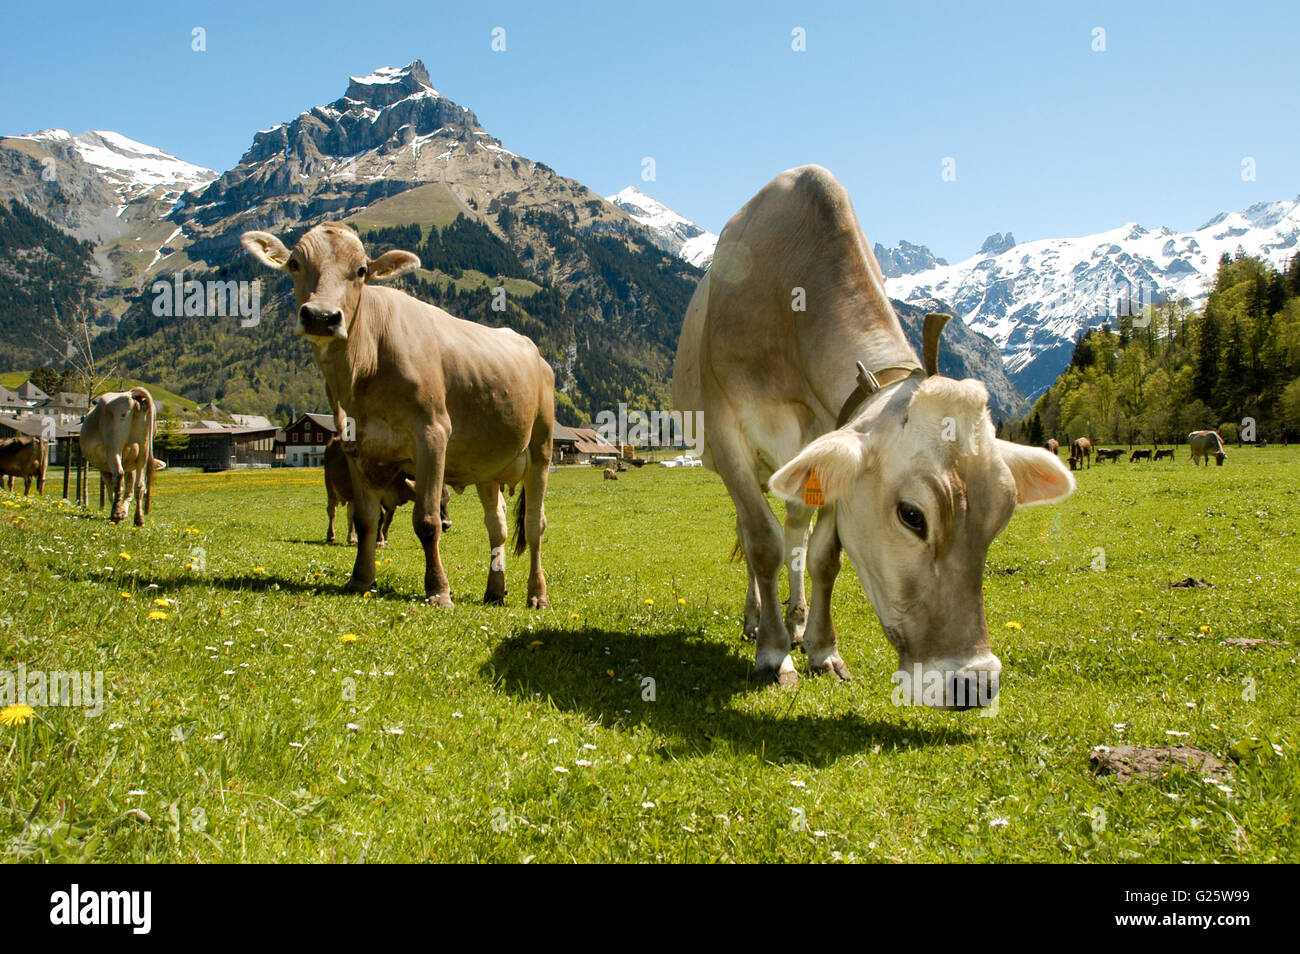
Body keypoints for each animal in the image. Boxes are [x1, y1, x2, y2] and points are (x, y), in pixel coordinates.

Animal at [78, 388, 156, 525]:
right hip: (144, 450)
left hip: (113, 446)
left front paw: (120, 512)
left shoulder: (103, 469)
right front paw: (123, 511)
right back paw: (139, 519)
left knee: (118, 475)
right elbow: (129, 488)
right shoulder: (130, 466)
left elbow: (110, 490)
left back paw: (115, 515)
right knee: (140, 485)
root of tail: (130, 394)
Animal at [242, 224, 554, 608]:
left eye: (361, 270)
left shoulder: (432, 434)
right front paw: (360, 579)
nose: (321, 316)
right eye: (294, 264)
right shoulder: (355, 447)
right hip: (488, 467)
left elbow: (427, 521)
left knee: (535, 523)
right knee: (497, 525)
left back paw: (537, 594)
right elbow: (366, 519)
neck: (366, 364)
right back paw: (495, 590)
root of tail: (535, 353)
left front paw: (438, 590)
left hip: (540, 450)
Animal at [671, 165, 1074, 707]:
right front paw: (774, 656)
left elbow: (824, 556)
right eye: (912, 515)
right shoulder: (727, 428)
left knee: (796, 530)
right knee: (753, 530)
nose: (974, 683)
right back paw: (758, 621)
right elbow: (761, 543)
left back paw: (796, 622)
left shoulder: (833, 442)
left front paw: (821, 650)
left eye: (1003, 515)